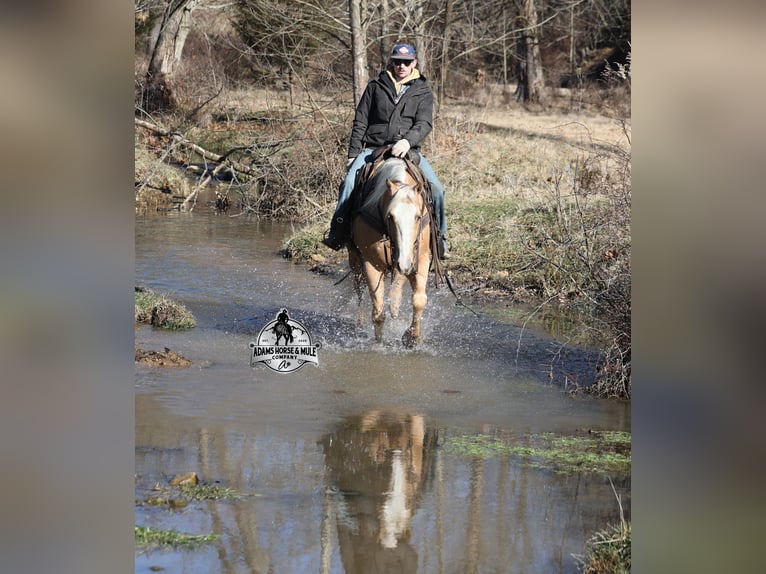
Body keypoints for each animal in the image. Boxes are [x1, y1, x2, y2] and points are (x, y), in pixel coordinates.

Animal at [347, 156, 432, 347]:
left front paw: (412, 337)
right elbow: (378, 312)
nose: (405, 263)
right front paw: (379, 344)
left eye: (417, 217)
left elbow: (419, 300)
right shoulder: (371, 263)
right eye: (390, 216)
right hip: (355, 260)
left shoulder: (421, 258)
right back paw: (359, 322)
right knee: (358, 289)